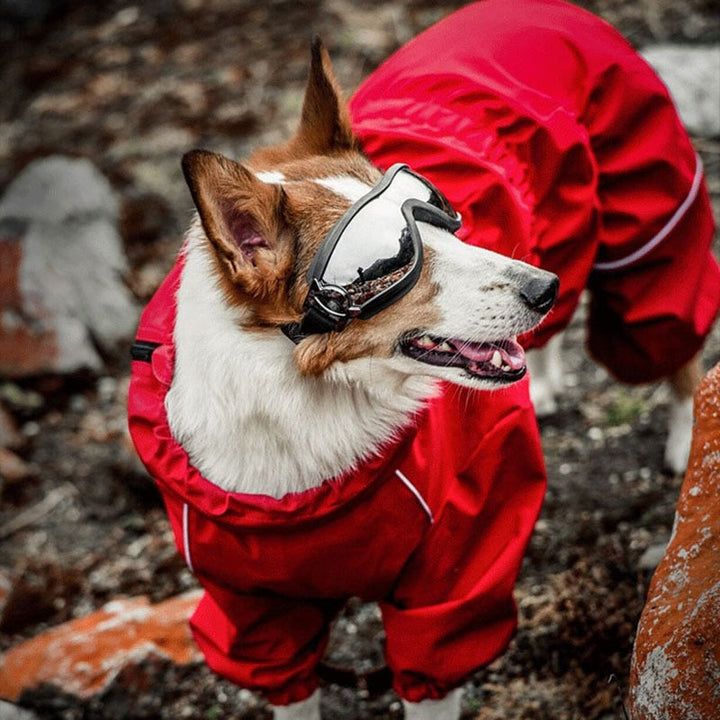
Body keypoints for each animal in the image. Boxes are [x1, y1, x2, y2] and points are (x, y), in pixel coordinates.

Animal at [131, 2, 720, 716]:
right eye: (390, 262)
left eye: (442, 220)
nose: (543, 288)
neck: (307, 398)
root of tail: (552, 11)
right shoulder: (255, 608)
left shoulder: (454, 566)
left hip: (647, 228)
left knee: (674, 338)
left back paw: (685, 441)